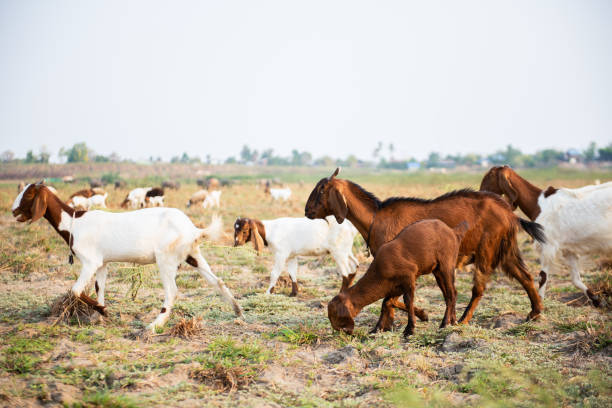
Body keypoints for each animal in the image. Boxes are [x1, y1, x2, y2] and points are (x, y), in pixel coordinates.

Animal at [11, 183, 241, 330]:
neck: (73, 222)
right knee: (217, 280)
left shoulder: (90, 262)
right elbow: (99, 288)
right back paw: (237, 310)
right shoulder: (102, 263)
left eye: (29, 195)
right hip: (192, 254)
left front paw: (103, 311)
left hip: (166, 258)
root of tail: (193, 229)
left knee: (172, 291)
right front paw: (98, 316)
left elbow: (75, 290)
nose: (13, 211)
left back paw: (154, 325)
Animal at [330, 222, 468, 336]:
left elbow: (407, 301)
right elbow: (387, 302)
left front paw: (410, 329)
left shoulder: (409, 276)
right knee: (448, 294)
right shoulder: (394, 285)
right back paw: (453, 321)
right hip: (437, 271)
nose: (346, 332)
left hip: (446, 264)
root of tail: (453, 232)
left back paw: (444, 323)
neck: (379, 271)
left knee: (452, 293)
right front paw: (377, 328)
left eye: (336, 316)